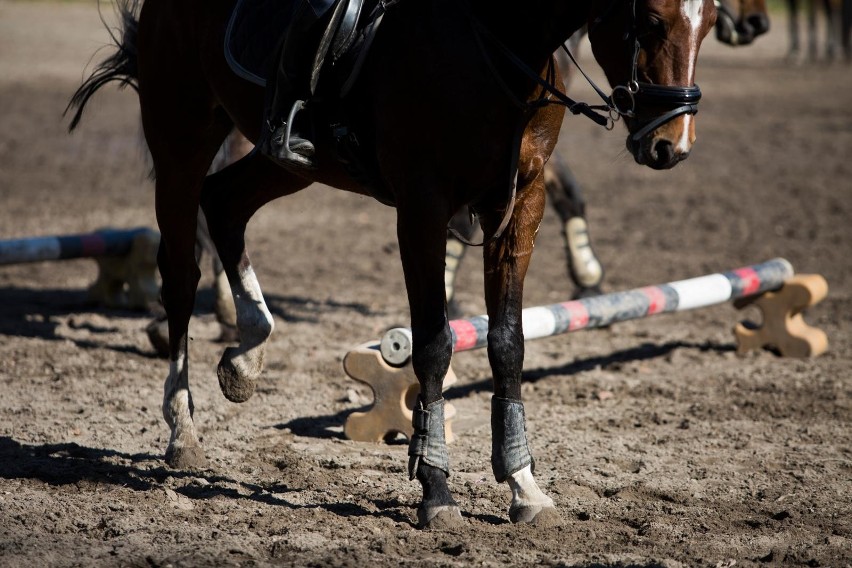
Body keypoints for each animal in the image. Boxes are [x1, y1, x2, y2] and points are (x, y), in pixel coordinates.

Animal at [70, 0, 716, 528]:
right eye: (650, 21)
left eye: (708, 20)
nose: (672, 146)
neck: (500, 39)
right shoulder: (423, 205)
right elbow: (432, 344)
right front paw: (436, 490)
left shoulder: (521, 200)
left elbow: (508, 342)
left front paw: (524, 487)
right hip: (181, 133)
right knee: (181, 273)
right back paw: (182, 428)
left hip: (292, 161)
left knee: (226, 203)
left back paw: (247, 351)